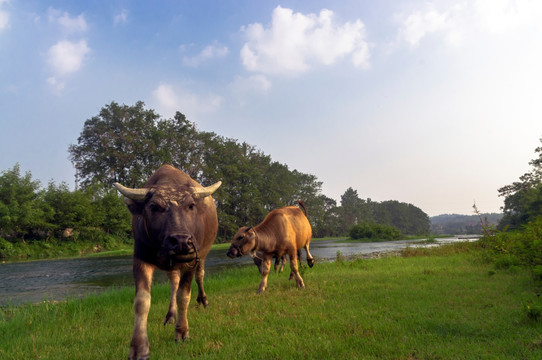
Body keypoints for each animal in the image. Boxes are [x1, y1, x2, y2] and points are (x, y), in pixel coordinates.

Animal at [113, 165, 222, 360]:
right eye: (154, 207)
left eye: (191, 205)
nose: (181, 241)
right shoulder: (141, 259)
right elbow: (141, 302)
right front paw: (139, 347)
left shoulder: (191, 260)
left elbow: (183, 296)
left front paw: (182, 332)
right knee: (173, 283)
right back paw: (170, 315)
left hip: (202, 254)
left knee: (199, 276)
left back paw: (203, 301)